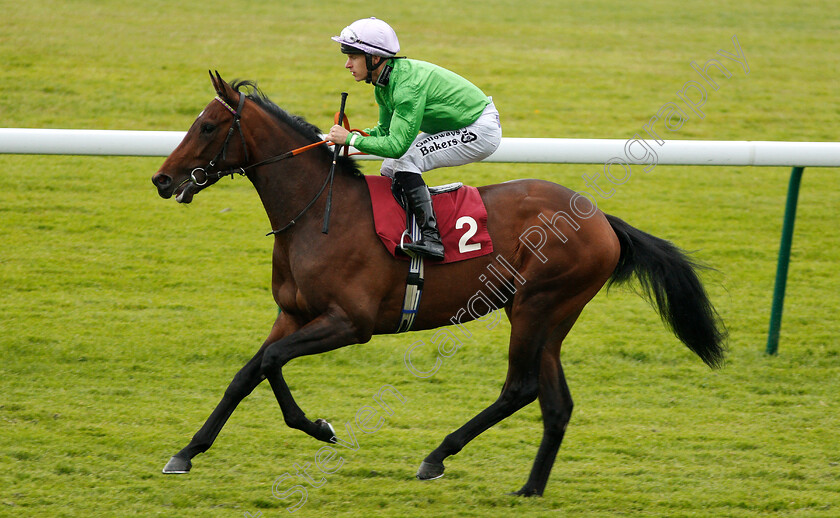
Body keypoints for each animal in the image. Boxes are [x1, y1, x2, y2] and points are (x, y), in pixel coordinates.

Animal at [153, 71, 728, 498]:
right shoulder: (292, 313)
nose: (162, 179)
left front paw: (320, 427)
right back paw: (530, 487)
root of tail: (601, 219)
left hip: (536, 306)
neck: (318, 213)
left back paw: (437, 456)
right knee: (555, 402)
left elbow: (271, 362)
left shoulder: (350, 323)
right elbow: (249, 372)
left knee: (520, 387)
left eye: (208, 127)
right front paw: (187, 452)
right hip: (551, 315)